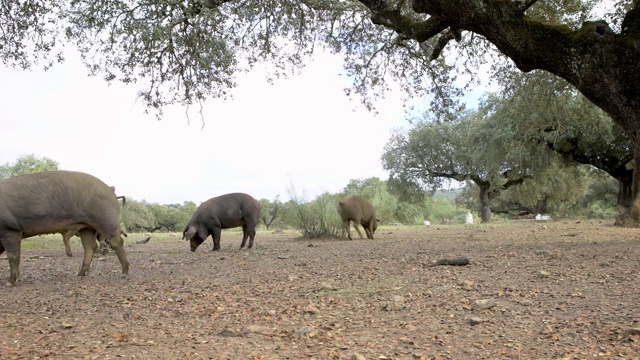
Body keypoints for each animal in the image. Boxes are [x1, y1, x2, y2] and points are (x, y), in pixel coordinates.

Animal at [0, 170, 130, 286]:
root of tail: (110, 189)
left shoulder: (10, 230)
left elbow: (13, 256)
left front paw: (9, 283)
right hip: (86, 227)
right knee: (90, 247)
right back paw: (79, 275)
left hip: (105, 220)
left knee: (117, 242)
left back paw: (124, 274)